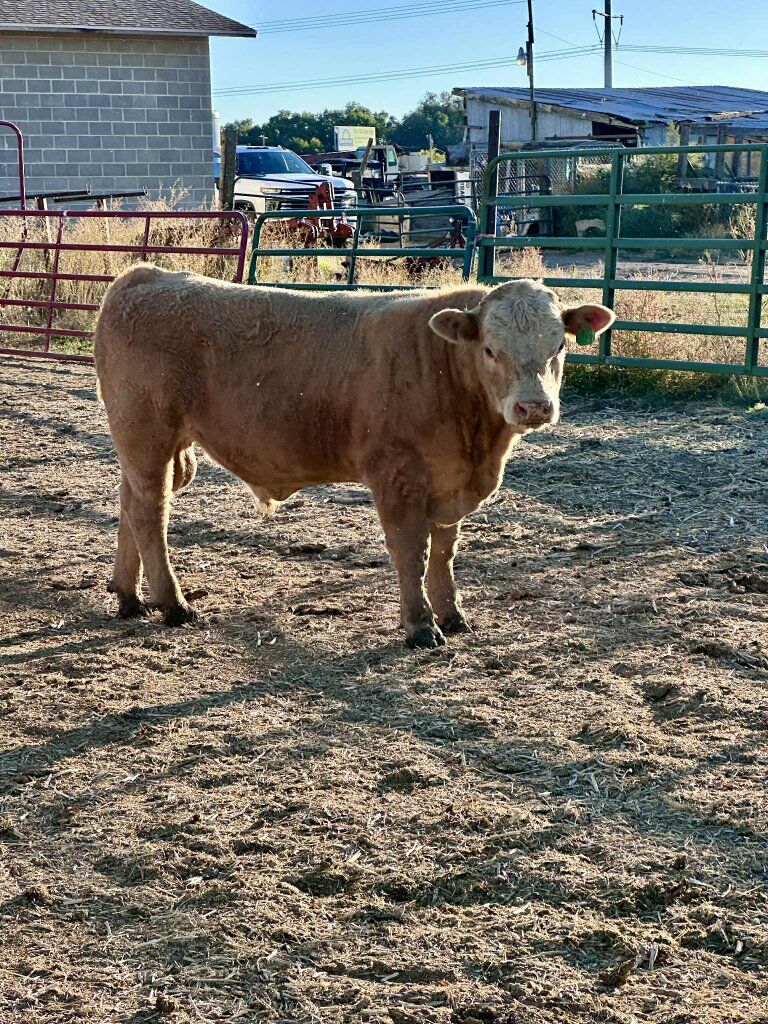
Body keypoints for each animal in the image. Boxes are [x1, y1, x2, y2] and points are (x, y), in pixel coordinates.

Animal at [94, 266, 614, 648]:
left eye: (559, 346)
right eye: (490, 349)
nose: (533, 407)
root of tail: (144, 276)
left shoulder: (449, 480)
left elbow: (444, 552)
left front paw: (452, 614)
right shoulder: (397, 477)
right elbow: (410, 552)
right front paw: (420, 626)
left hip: (155, 449)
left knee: (130, 503)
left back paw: (128, 595)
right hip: (147, 437)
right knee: (151, 514)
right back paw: (172, 604)